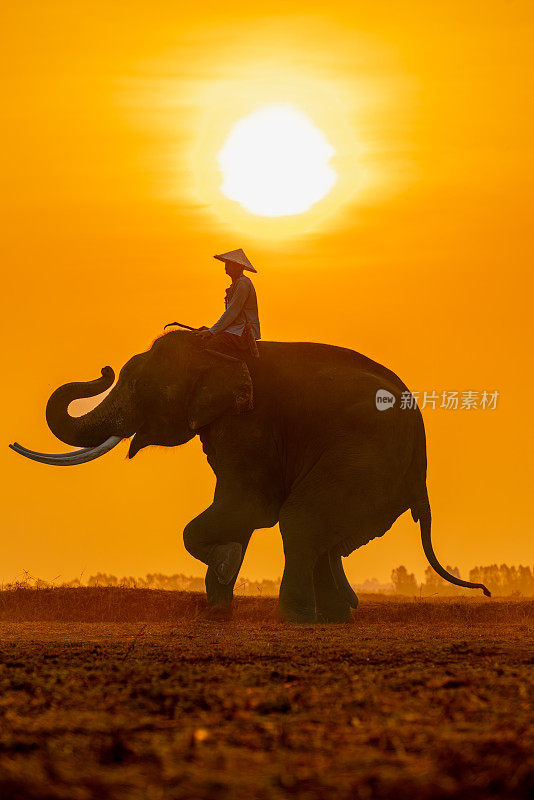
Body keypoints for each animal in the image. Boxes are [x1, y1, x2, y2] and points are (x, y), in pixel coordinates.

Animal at [10, 328, 492, 620]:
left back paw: (300, 619)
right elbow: (235, 509)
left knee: (300, 521)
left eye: (138, 386)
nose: (104, 369)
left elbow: (249, 507)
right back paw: (338, 615)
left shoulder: (249, 423)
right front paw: (218, 608)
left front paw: (225, 565)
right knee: (325, 536)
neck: (214, 349)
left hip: (365, 455)